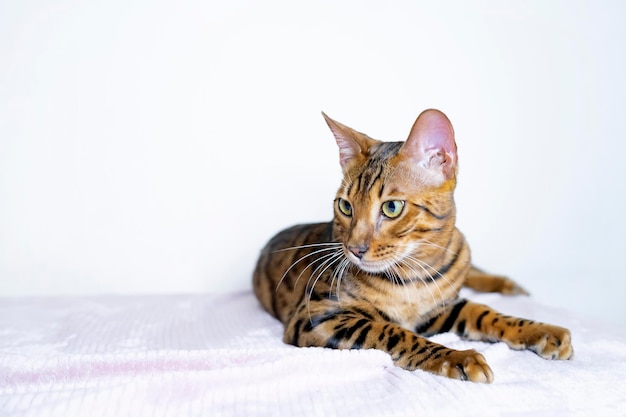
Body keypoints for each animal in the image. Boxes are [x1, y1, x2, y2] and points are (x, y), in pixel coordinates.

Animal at [251, 109, 572, 382]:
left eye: (392, 207)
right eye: (345, 206)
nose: (354, 249)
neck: (415, 274)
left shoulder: (442, 307)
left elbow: (484, 312)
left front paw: (543, 330)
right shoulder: (316, 316)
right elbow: (391, 330)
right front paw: (459, 358)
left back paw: (508, 285)